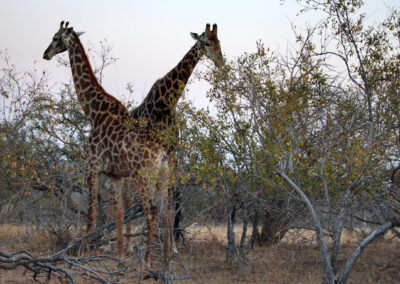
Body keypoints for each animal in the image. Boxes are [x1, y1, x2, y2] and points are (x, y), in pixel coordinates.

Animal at [43, 20, 173, 266]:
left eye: (55, 37)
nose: (45, 53)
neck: (94, 112)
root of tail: (161, 152)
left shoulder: (92, 167)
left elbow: (92, 212)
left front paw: (85, 254)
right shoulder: (115, 174)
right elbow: (119, 213)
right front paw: (120, 255)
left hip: (143, 175)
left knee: (151, 209)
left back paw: (148, 261)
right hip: (160, 176)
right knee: (163, 211)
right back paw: (163, 261)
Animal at [132, 23, 225, 240]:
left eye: (219, 41)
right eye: (206, 42)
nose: (221, 62)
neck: (167, 102)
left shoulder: (172, 149)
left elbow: (174, 193)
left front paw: (175, 233)